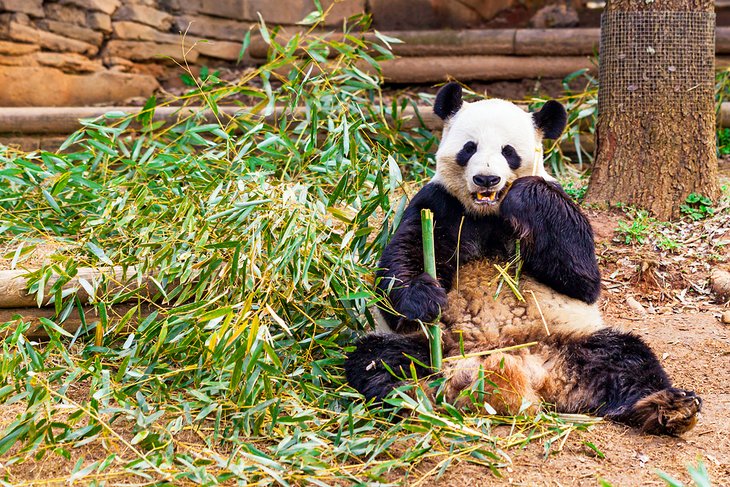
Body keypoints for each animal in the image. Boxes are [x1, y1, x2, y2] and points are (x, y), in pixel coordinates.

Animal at [344, 82, 704, 436]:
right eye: (469, 147)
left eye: (508, 151)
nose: (486, 179)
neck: (487, 212)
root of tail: (519, 371)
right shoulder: (438, 203)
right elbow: (402, 259)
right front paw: (425, 298)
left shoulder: (558, 204)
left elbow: (583, 275)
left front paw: (523, 193)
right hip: (436, 346)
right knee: (378, 361)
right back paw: (411, 399)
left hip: (572, 342)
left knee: (626, 358)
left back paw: (671, 407)